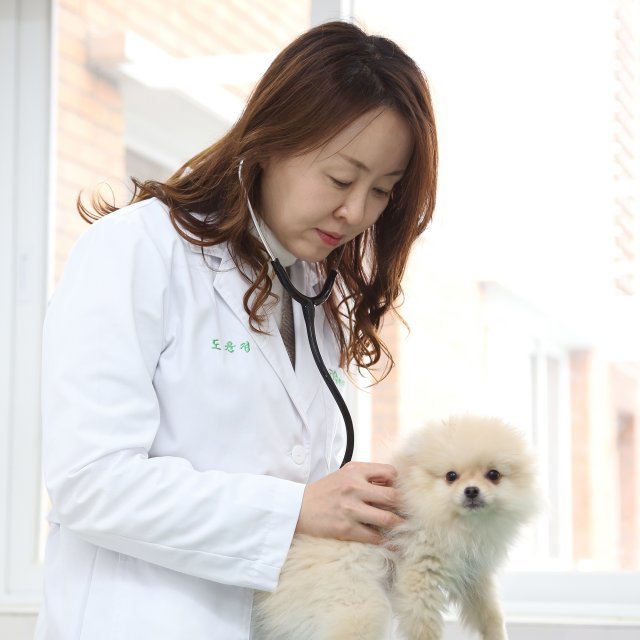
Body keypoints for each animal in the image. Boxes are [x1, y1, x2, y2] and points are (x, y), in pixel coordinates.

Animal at [252, 415, 543, 639]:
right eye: (451, 476)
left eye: (493, 475)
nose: (471, 491)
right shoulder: (419, 572)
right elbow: (424, 627)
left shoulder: (473, 569)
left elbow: (489, 612)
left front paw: (497, 633)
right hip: (355, 602)